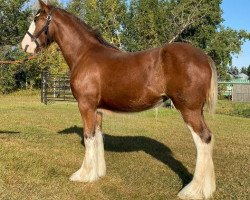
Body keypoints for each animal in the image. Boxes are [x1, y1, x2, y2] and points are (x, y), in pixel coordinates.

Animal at [21, 0, 217, 199]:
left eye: (37, 19)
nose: (25, 45)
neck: (84, 54)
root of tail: (204, 57)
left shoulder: (85, 106)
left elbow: (88, 137)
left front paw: (83, 175)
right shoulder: (97, 109)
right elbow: (98, 137)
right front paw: (97, 173)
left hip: (189, 109)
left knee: (203, 139)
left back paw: (193, 190)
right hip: (196, 110)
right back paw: (207, 189)